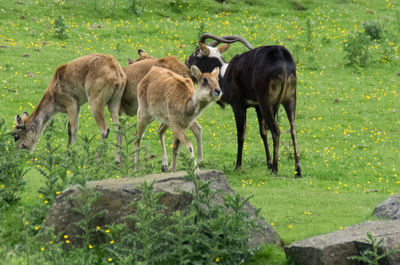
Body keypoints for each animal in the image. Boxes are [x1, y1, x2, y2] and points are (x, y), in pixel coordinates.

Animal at [186, 34, 302, 176]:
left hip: (267, 103)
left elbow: (241, 134)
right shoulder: (257, 107)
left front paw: (238, 165)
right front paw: (268, 164)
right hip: (290, 100)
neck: (224, 73)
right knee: (293, 130)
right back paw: (297, 170)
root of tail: (282, 58)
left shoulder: (238, 105)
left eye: (197, 51)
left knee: (276, 131)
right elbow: (263, 132)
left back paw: (275, 170)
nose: (186, 61)